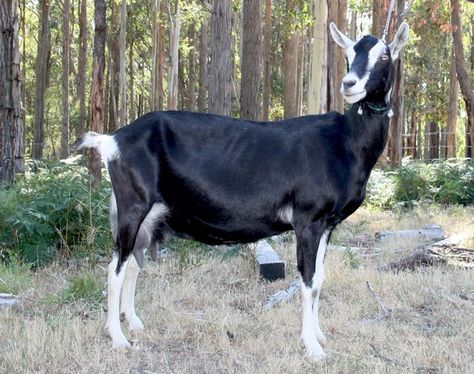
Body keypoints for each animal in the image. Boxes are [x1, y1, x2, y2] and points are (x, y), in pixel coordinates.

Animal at [76, 21, 410, 360]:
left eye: (384, 55)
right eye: (348, 54)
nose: (349, 83)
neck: (345, 142)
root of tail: (112, 140)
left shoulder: (328, 225)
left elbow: (319, 279)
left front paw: (320, 335)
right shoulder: (307, 220)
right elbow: (307, 280)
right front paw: (312, 347)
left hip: (152, 215)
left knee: (133, 262)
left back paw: (134, 323)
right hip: (132, 204)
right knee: (114, 268)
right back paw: (118, 337)